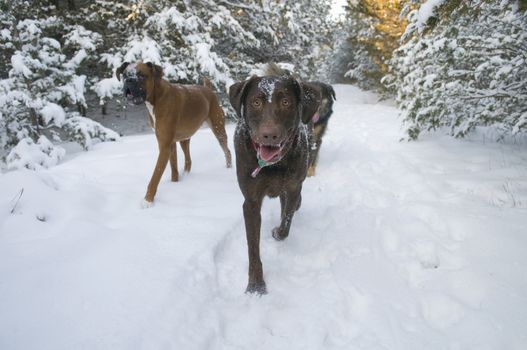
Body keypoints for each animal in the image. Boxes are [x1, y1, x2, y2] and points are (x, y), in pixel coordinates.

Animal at [117, 62, 233, 208]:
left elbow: (156, 175)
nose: (129, 81)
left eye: (142, 75)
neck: (156, 97)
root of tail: (208, 90)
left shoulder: (164, 147)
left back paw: (228, 169)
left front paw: (148, 200)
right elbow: (174, 168)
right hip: (185, 138)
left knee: (227, 151)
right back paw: (187, 175)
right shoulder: (170, 144)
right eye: (125, 75)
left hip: (218, 130)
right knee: (188, 160)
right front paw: (175, 184)